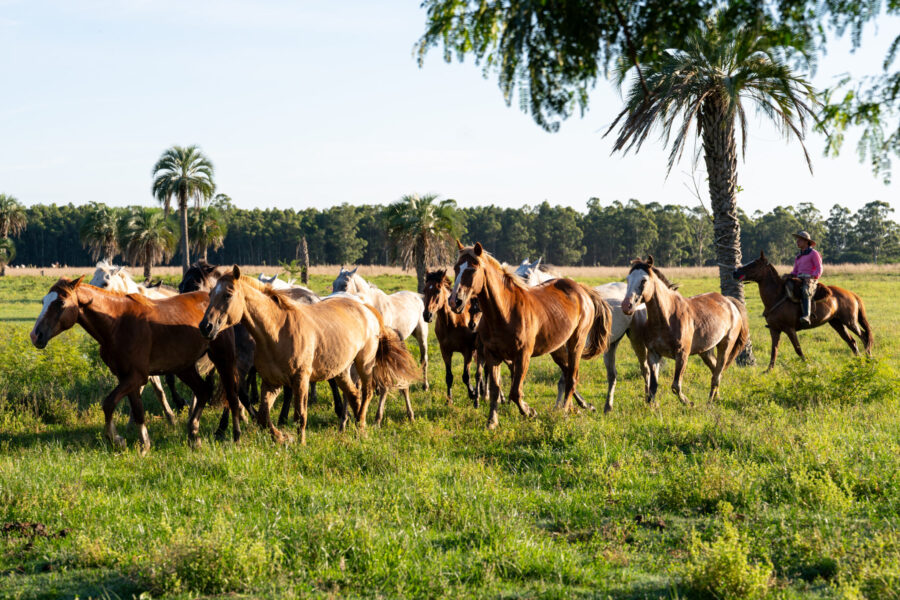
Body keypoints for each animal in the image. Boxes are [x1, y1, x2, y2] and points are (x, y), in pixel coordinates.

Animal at [30, 277, 243, 453]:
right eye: (43, 301)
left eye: (60, 302)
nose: (35, 335)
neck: (117, 323)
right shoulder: (127, 377)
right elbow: (138, 412)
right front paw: (144, 445)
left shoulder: (136, 377)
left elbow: (108, 404)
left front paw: (117, 440)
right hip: (184, 367)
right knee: (203, 391)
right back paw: (193, 435)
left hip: (223, 360)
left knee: (231, 398)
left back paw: (235, 437)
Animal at [199, 267, 421, 443]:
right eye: (210, 294)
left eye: (228, 294)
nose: (205, 326)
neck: (276, 331)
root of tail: (367, 308)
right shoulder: (271, 382)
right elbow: (263, 417)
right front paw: (282, 437)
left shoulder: (300, 379)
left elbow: (300, 415)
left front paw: (300, 443)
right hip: (341, 370)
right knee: (354, 395)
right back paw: (355, 426)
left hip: (364, 363)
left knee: (367, 392)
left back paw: (362, 425)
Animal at [448, 242, 612, 429]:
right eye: (456, 268)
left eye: (473, 269)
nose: (454, 301)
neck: (505, 312)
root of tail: (581, 289)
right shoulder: (492, 355)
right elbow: (496, 389)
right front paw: (492, 422)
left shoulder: (522, 356)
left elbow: (515, 392)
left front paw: (530, 412)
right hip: (556, 349)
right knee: (568, 372)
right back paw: (579, 406)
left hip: (576, 343)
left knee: (572, 378)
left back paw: (564, 411)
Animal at [621, 257, 748, 406]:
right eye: (628, 279)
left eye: (643, 280)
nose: (626, 306)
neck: (666, 318)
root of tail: (730, 302)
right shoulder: (653, 354)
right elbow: (653, 387)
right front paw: (653, 407)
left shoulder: (682, 354)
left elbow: (675, 386)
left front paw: (689, 403)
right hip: (705, 351)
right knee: (716, 369)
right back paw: (717, 397)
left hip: (725, 345)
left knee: (717, 374)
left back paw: (709, 403)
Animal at [733, 251, 873, 371]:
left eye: (754, 264)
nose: (735, 272)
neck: (777, 296)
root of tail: (852, 294)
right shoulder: (774, 329)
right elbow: (774, 350)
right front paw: (768, 370)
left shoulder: (790, 329)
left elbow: (798, 349)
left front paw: (807, 366)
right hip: (837, 323)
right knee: (852, 341)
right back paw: (859, 362)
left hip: (850, 322)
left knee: (864, 337)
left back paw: (868, 358)